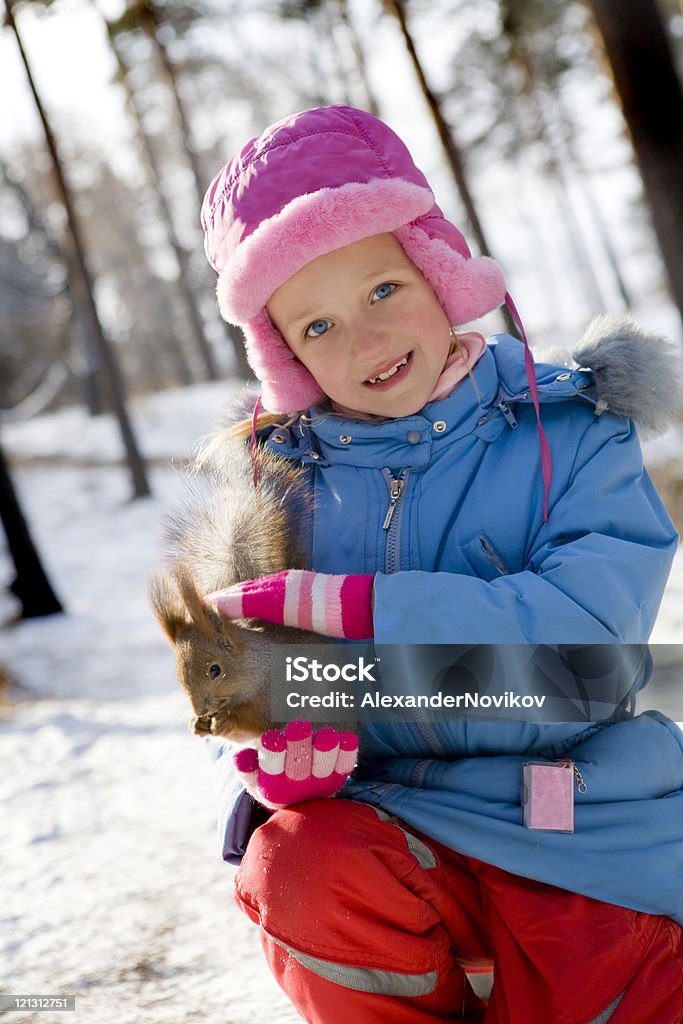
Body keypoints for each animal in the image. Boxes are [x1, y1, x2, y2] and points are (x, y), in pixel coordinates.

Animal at [149, 425, 333, 745]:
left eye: (215, 670)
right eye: (178, 675)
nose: (201, 709)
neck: (253, 669)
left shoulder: (275, 694)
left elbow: (258, 722)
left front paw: (225, 720)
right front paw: (196, 724)